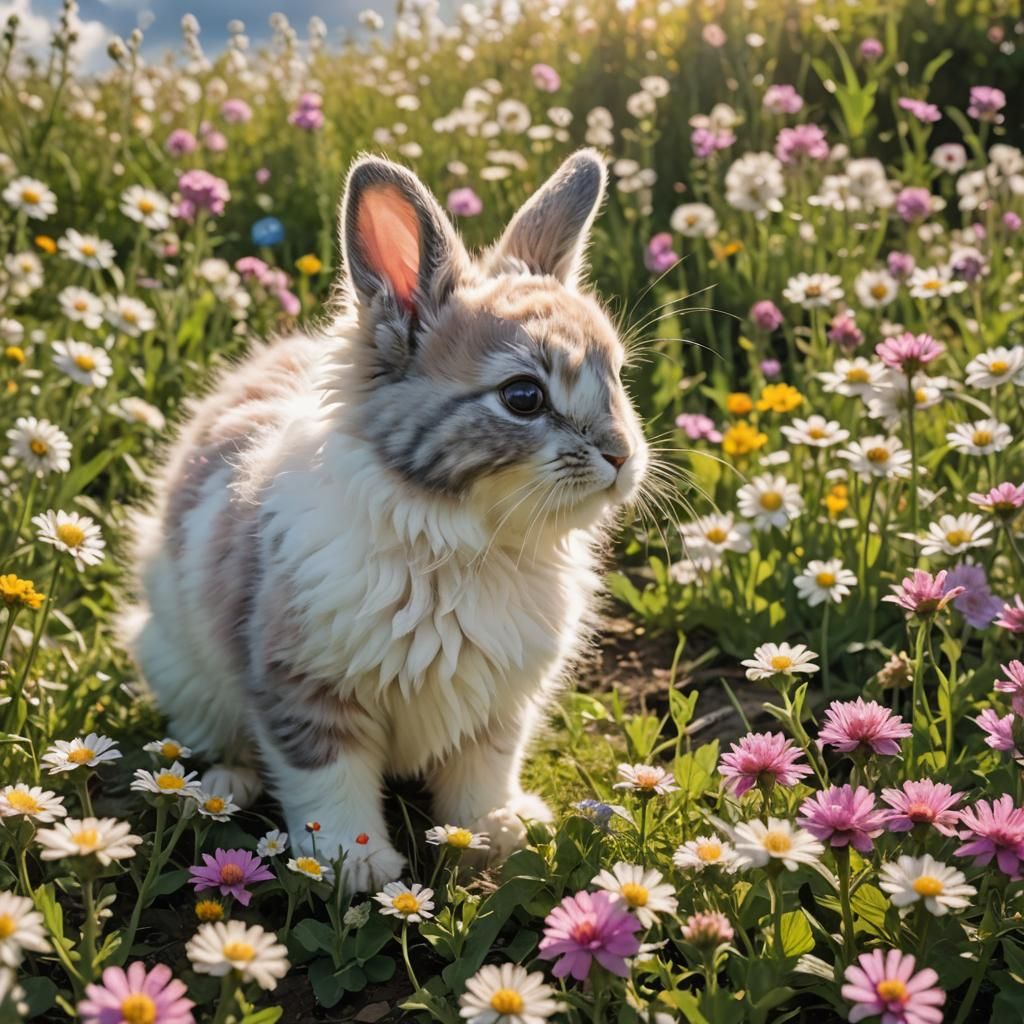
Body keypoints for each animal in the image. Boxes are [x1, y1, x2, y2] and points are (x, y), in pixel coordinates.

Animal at [123, 148, 648, 890]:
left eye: (619, 378)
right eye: (522, 397)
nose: (622, 455)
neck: (464, 542)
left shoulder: (498, 709)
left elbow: (481, 776)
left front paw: (494, 834)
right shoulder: (304, 688)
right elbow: (326, 781)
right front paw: (356, 867)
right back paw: (224, 787)